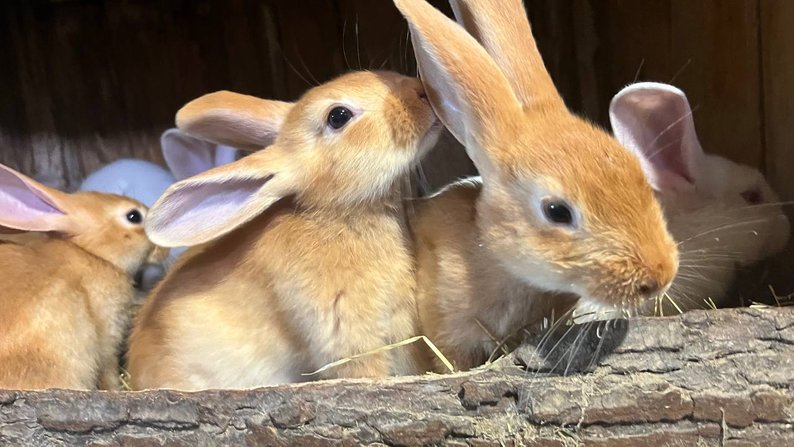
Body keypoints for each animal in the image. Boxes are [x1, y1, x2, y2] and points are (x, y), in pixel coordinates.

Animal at [0, 164, 165, 388]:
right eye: (133, 216)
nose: (163, 250)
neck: (92, 254)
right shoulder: (107, 333)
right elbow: (108, 368)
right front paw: (114, 389)